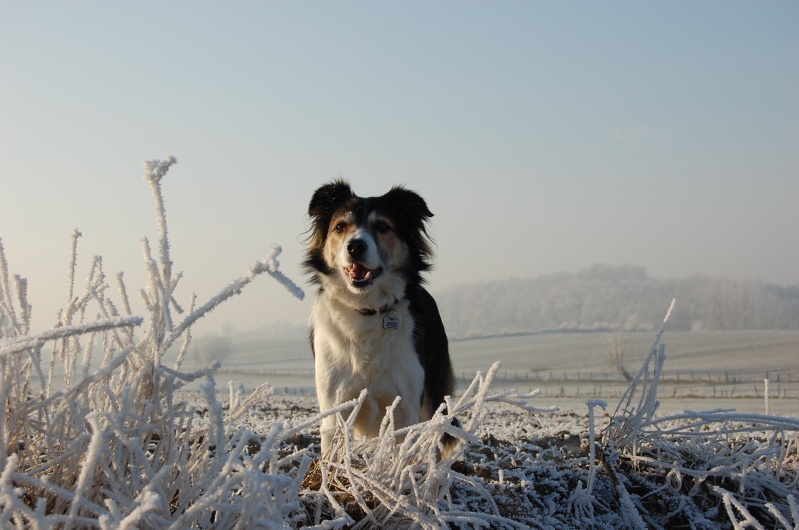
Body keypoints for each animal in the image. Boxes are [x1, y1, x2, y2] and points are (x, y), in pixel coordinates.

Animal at [304, 179, 456, 452]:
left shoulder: (406, 404)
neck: (366, 310)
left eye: (383, 226)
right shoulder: (334, 405)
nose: (355, 246)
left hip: (434, 393)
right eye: (340, 227)